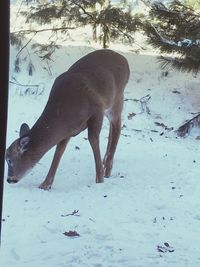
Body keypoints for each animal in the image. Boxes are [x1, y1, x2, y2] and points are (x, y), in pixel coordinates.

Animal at [5, 48, 130, 191]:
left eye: (9, 160)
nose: (9, 179)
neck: (65, 111)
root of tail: (124, 59)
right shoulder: (68, 129)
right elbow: (59, 150)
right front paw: (45, 184)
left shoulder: (97, 109)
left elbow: (93, 140)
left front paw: (99, 179)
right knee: (112, 128)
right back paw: (105, 161)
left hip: (117, 99)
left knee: (117, 127)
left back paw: (108, 168)